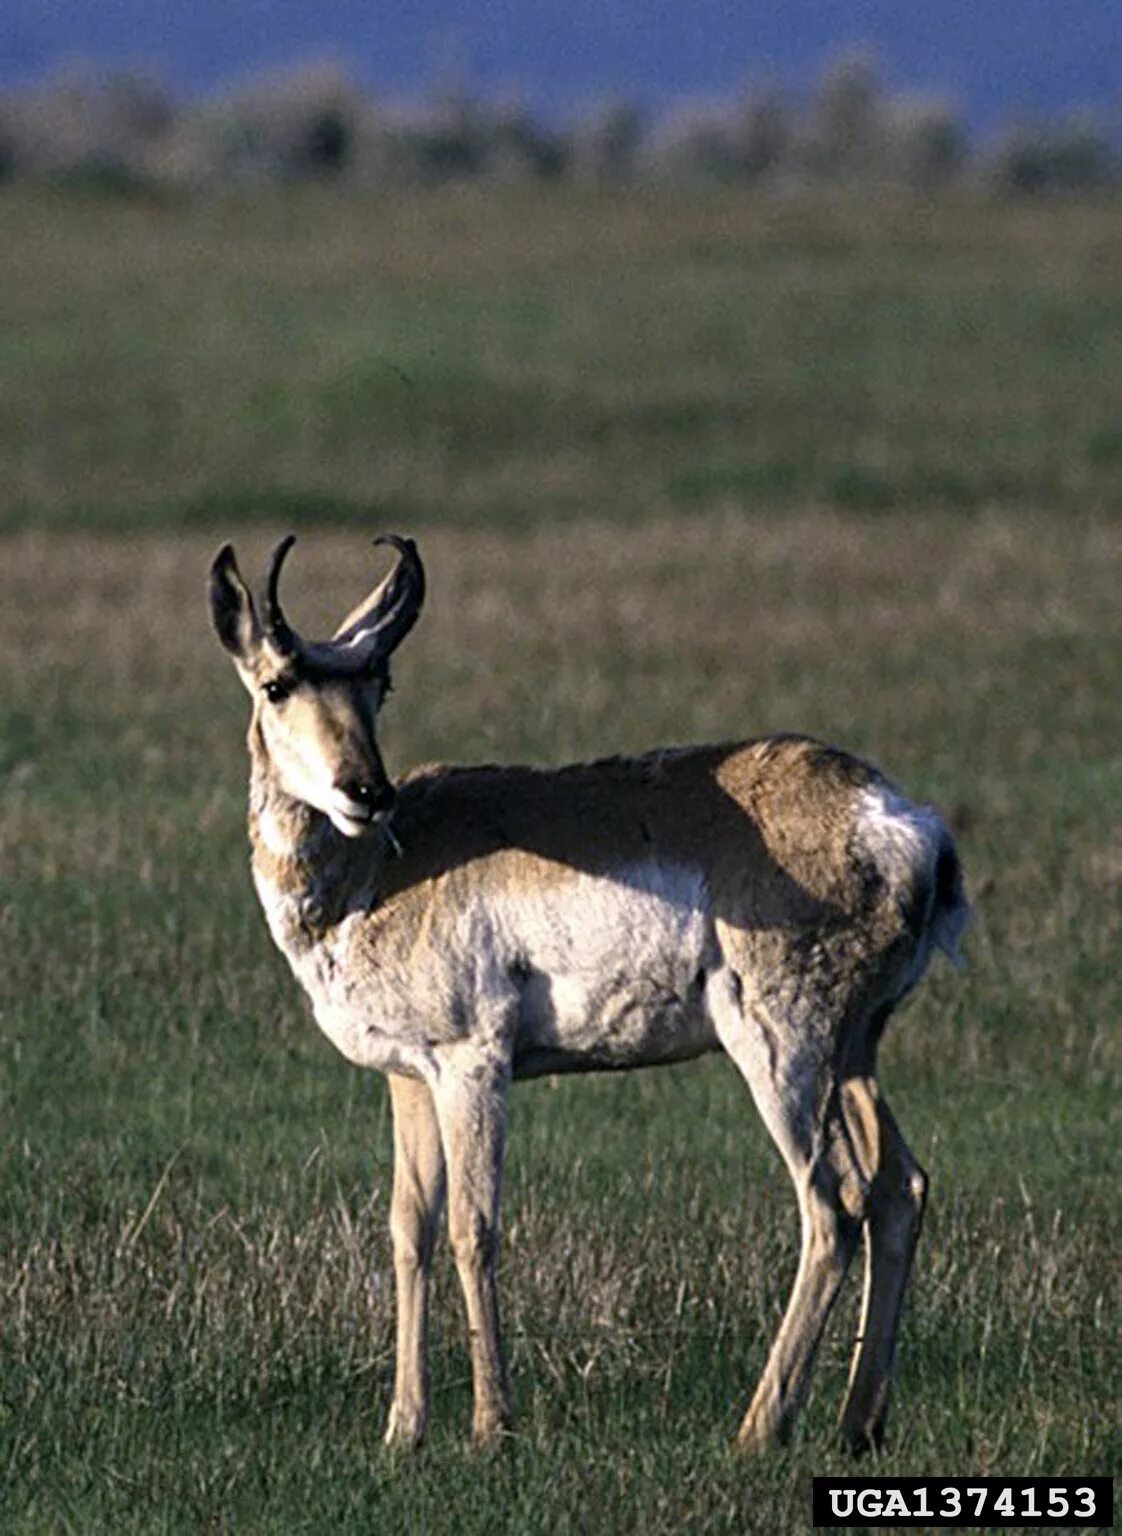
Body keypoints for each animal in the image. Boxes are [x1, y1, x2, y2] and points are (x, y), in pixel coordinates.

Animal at [207, 537, 959, 1449]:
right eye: (278, 683)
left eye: (377, 684)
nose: (366, 792)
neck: (380, 867)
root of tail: (902, 819)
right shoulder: (409, 1079)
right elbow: (409, 1230)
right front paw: (403, 1430)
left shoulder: (473, 1065)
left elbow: (474, 1228)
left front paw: (491, 1426)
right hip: (854, 1055)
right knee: (899, 1189)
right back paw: (856, 1424)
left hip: (782, 1053)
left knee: (833, 1203)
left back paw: (759, 1425)